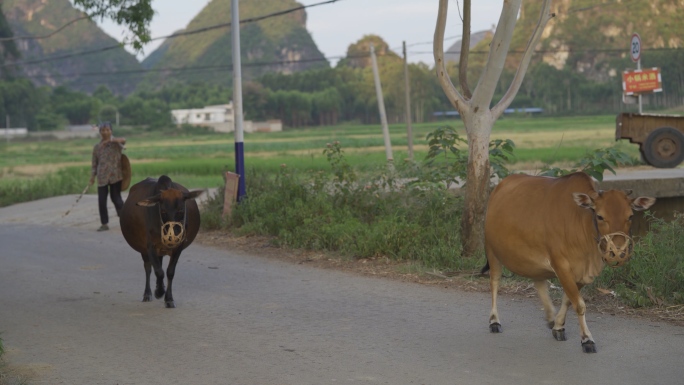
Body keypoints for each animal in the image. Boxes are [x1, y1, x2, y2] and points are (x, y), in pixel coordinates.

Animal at [120, 176, 203, 308]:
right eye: (163, 211)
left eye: (181, 210)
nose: (173, 236)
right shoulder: (150, 247)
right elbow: (158, 271)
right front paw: (159, 292)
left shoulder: (178, 247)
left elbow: (169, 272)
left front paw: (168, 298)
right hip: (144, 250)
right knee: (148, 268)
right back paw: (148, 293)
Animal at [484, 172, 656, 352]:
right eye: (600, 216)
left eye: (630, 216)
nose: (618, 252)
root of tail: (500, 186)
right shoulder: (561, 265)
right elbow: (579, 304)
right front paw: (587, 338)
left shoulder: (582, 273)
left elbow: (568, 299)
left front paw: (558, 326)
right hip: (492, 251)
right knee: (494, 282)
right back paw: (494, 320)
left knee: (539, 282)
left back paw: (550, 316)